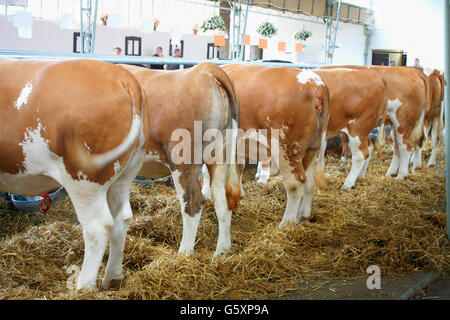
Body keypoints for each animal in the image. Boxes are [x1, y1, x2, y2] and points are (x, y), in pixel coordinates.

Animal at [0, 57, 146, 290]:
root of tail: (123, 76)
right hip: (124, 175)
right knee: (122, 219)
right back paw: (111, 279)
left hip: (83, 179)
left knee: (97, 226)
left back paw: (83, 286)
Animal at [119, 63, 241, 258]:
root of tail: (204, 69)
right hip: (220, 156)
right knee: (222, 201)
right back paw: (221, 252)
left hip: (183, 161)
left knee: (192, 201)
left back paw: (184, 253)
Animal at [202, 63, 328, 226]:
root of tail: (313, 81)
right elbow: (238, 169)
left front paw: (206, 194)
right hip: (314, 148)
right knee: (310, 183)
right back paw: (303, 216)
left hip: (285, 148)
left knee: (296, 183)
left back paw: (286, 222)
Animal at [253, 67, 386, 190]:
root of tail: (376, 77)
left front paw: (262, 178)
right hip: (364, 129)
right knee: (370, 148)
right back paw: (360, 176)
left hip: (358, 127)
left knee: (360, 155)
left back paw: (347, 184)